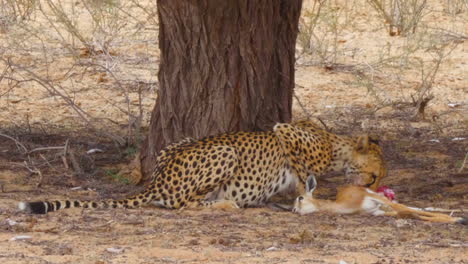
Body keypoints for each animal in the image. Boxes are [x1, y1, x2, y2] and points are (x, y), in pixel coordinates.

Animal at [18, 120, 386, 213]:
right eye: (374, 175)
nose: (375, 187)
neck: (337, 146)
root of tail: (158, 179)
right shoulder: (285, 131)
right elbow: (301, 172)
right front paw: (303, 192)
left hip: (178, 142)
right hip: (226, 151)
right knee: (184, 205)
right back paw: (226, 204)